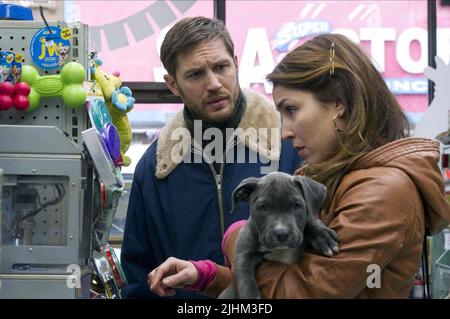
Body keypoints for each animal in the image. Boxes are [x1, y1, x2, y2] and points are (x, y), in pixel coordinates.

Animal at [220, 172, 340, 300]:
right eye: (263, 207)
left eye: (296, 205)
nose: (281, 233)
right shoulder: (244, 252)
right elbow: (244, 274)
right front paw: (250, 295)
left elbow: (309, 220)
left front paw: (323, 236)